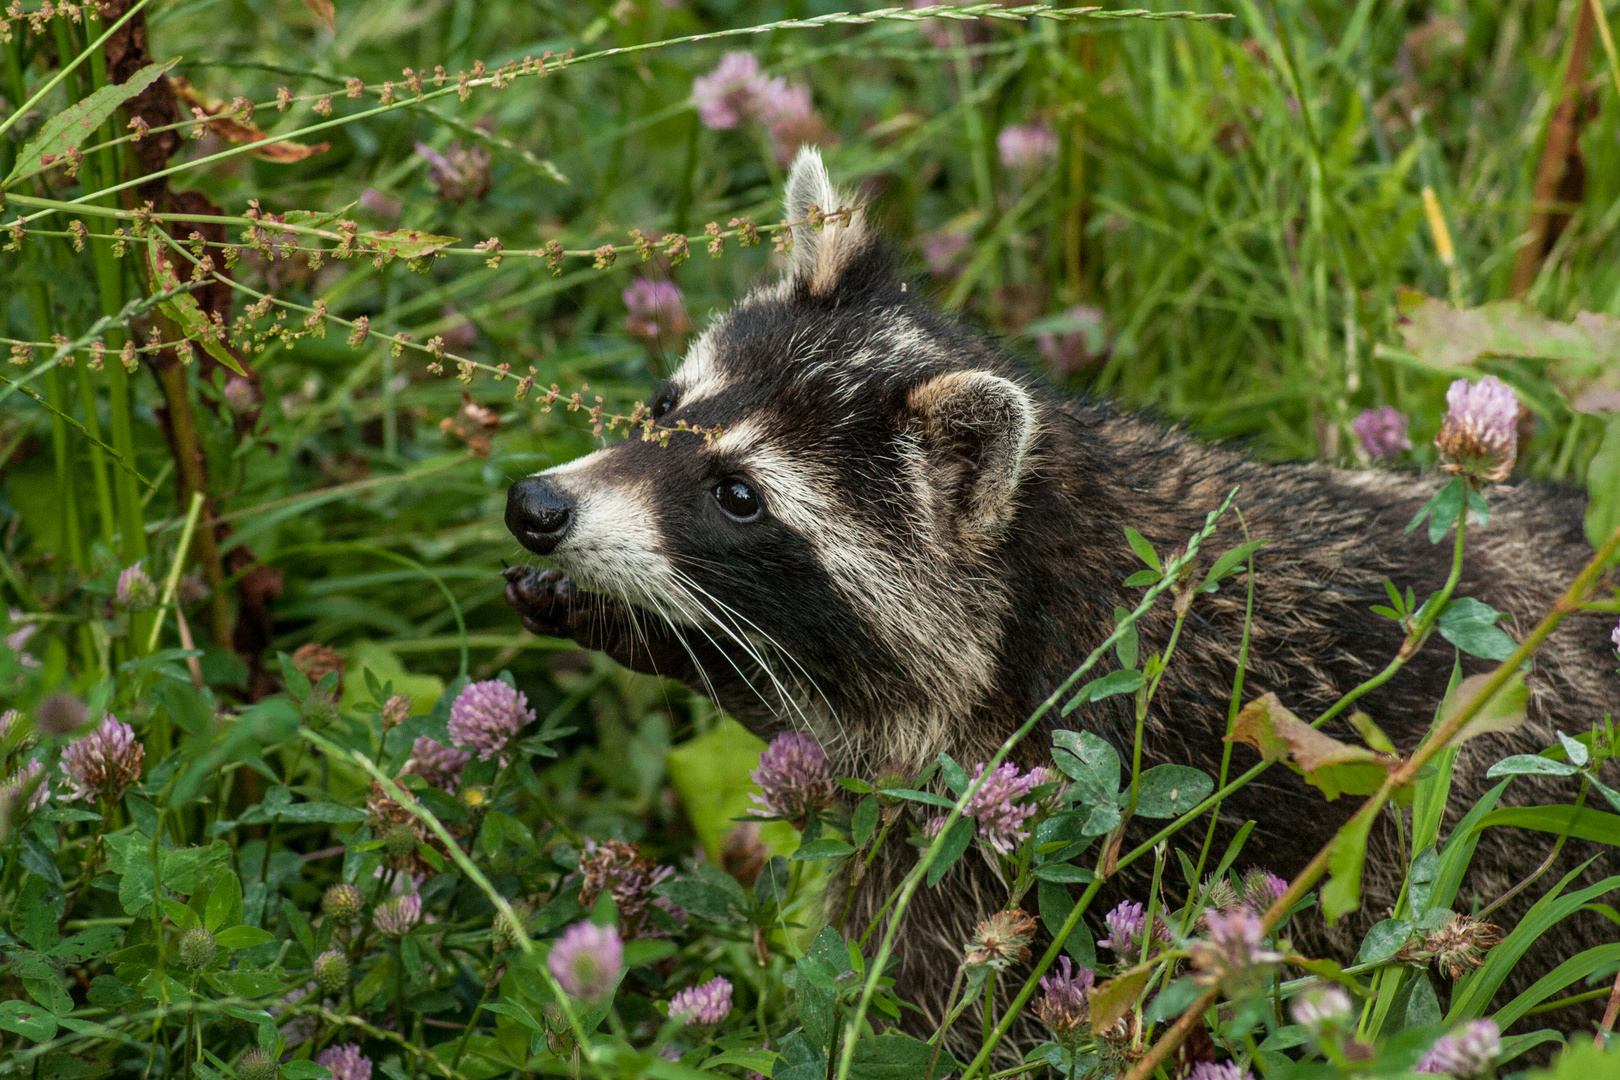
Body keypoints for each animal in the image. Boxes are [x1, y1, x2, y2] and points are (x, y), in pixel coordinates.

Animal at [502, 149, 1620, 1036]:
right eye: (666, 407)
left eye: (737, 495)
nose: (535, 506)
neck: (1036, 545)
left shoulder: (1019, 805)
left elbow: (932, 1001)